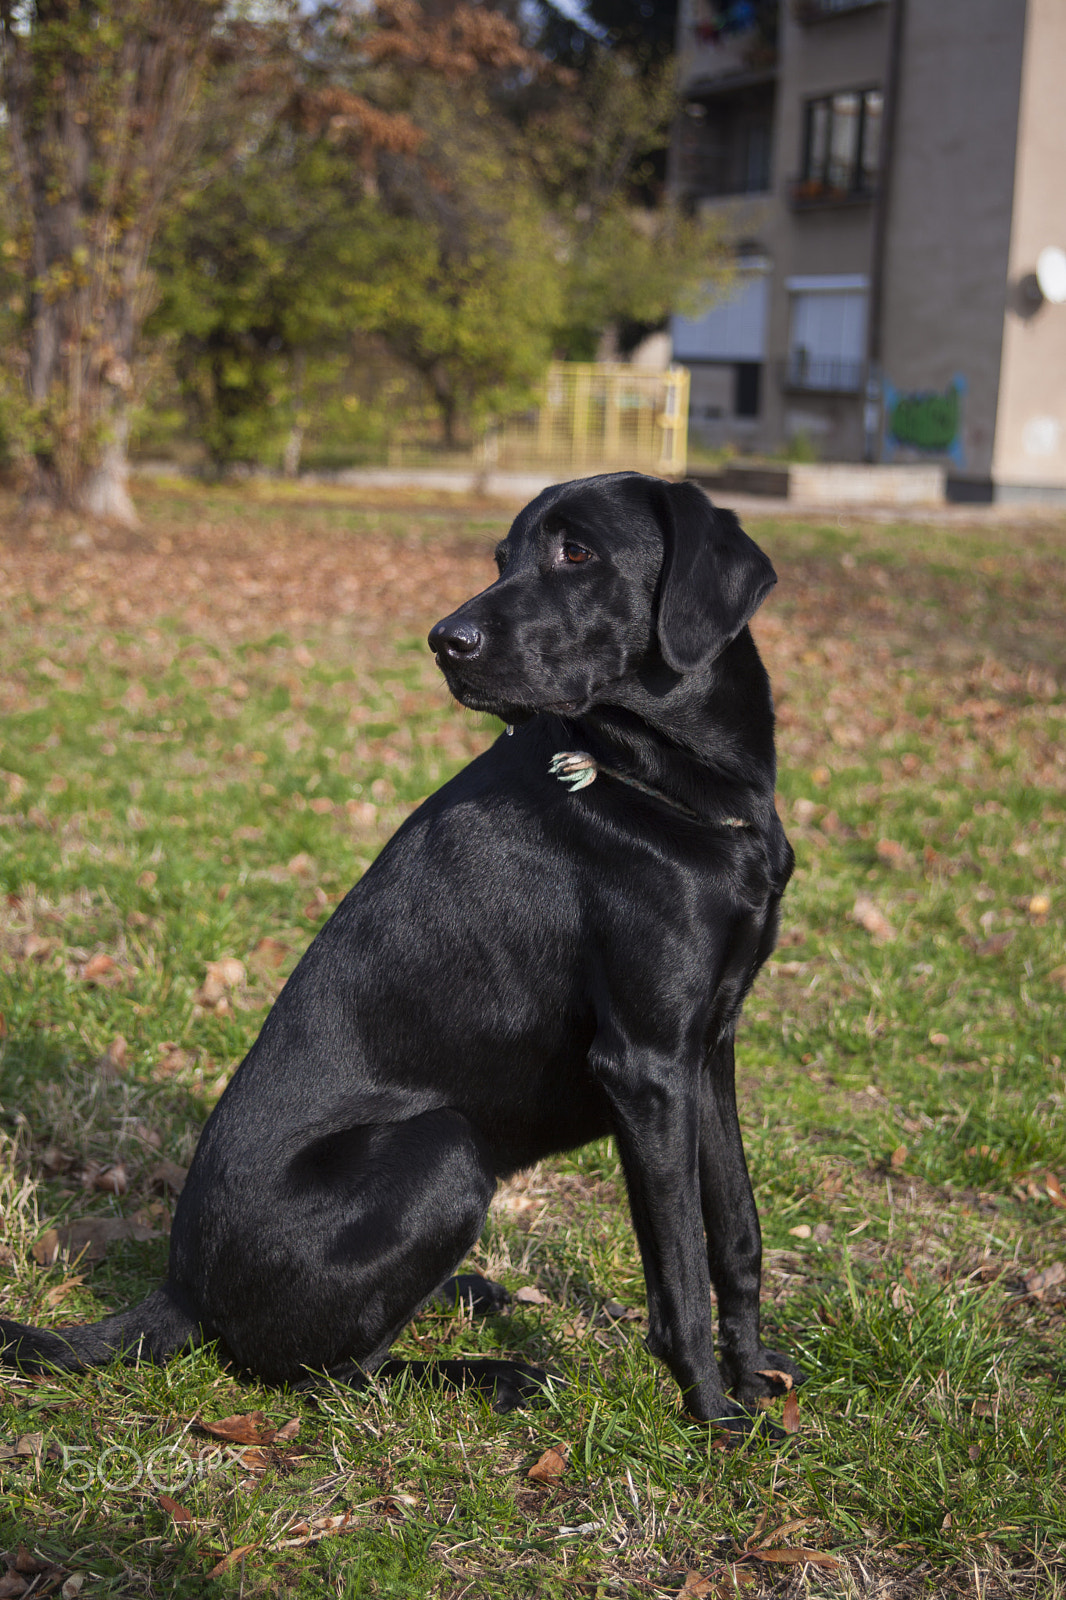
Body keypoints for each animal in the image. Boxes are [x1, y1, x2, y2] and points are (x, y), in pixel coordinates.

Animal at [0, 470, 797, 1427]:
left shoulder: (707, 1049)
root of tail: (179, 1291)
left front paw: (754, 1375)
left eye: (577, 553)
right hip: (443, 1151)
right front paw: (716, 1415)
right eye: (503, 555)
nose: (443, 641)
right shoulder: (645, 1066)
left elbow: (737, 1233)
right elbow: (677, 1269)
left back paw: (463, 1296)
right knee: (329, 1372)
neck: (681, 795)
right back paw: (490, 1372)